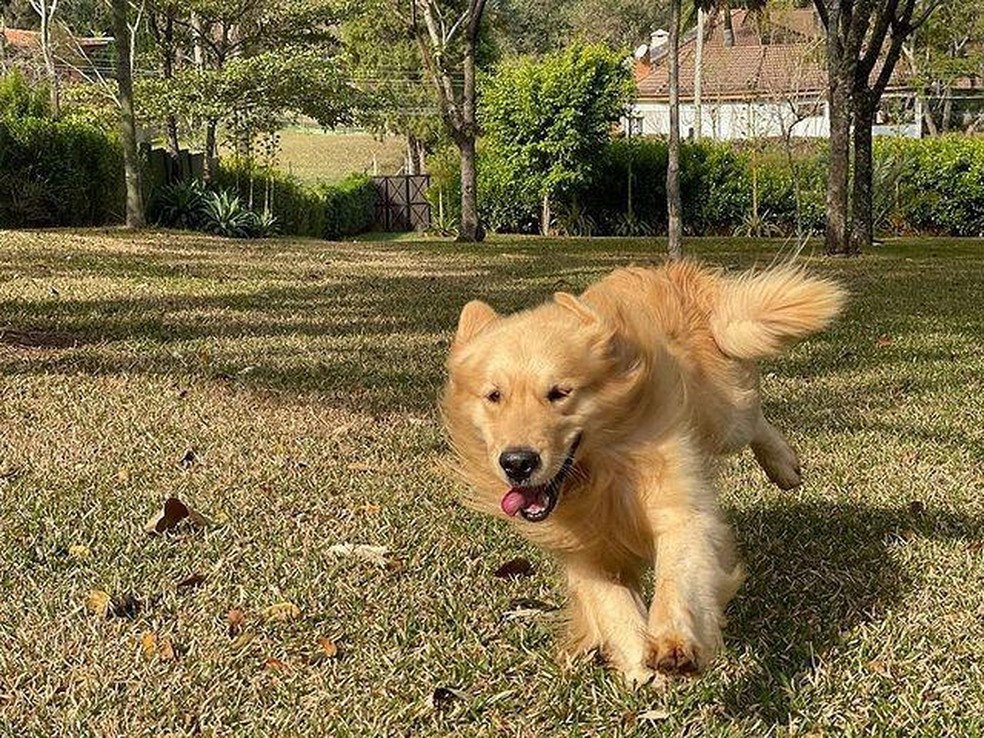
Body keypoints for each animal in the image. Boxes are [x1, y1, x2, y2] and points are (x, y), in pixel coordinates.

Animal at [440, 258, 844, 684]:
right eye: (494, 396)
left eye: (559, 393)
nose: (517, 463)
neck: (600, 472)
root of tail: (663, 272)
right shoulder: (586, 551)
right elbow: (613, 605)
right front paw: (642, 668)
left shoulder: (680, 507)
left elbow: (676, 578)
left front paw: (674, 641)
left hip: (724, 412)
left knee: (752, 418)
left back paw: (784, 465)